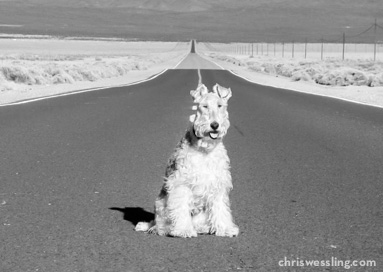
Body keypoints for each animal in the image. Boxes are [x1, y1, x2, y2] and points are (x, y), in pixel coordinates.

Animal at [134, 83, 238, 238]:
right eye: (204, 106)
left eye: (220, 105)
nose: (214, 125)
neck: (205, 149)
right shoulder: (180, 183)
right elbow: (181, 209)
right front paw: (184, 230)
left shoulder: (218, 184)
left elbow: (221, 209)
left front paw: (225, 229)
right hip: (160, 205)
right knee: (161, 224)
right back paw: (162, 229)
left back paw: (203, 228)